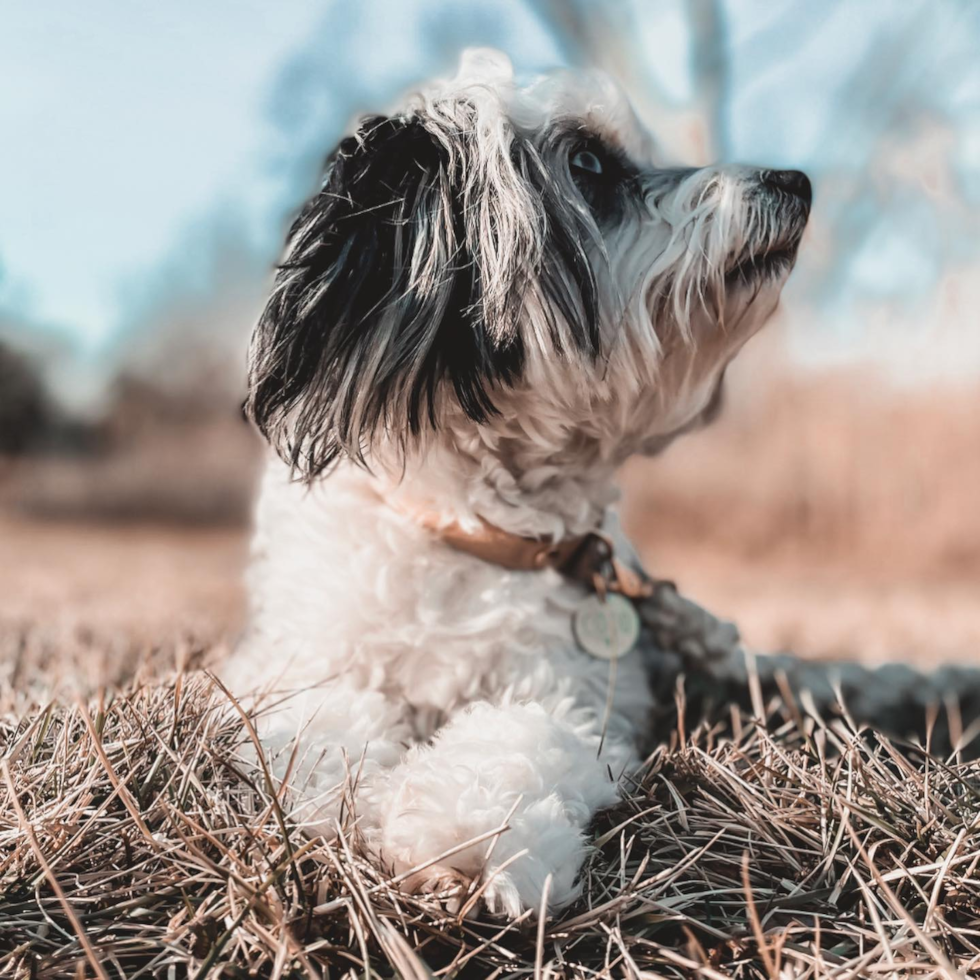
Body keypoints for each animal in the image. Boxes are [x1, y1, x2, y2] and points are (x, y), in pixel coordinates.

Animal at [222, 47, 812, 920]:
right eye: (590, 164)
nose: (795, 179)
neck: (476, 528)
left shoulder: (576, 690)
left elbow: (522, 735)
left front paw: (461, 831)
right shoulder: (295, 660)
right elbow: (315, 720)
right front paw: (343, 794)